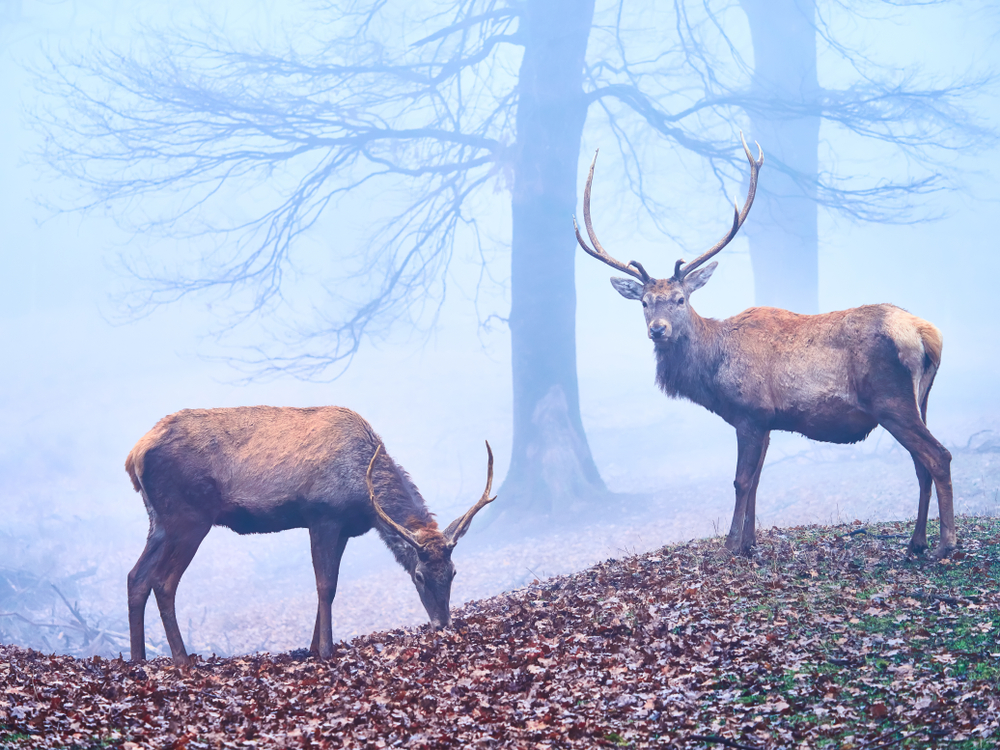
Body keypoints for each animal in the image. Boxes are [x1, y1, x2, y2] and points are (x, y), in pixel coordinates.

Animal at [124, 405, 496, 665]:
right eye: (418, 575)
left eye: (454, 572)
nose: (442, 623)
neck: (364, 493)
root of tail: (133, 455)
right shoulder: (323, 515)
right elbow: (325, 584)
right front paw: (326, 650)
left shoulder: (342, 528)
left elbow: (330, 584)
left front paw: (314, 647)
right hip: (188, 517)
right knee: (163, 581)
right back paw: (182, 659)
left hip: (158, 521)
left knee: (136, 577)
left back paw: (138, 659)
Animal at [575, 134, 956, 560]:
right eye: (643, 303)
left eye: (679, 299)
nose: (658, 330)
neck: (713, 370)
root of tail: (926, 334)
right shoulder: (769, 421)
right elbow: (757, 480)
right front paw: (750, 542)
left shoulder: (750, 412)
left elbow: (741, 480)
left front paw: (730, 545)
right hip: (921, 398)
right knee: (922, 463)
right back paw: (916, 541)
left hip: (891, 400)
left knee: (938, 456)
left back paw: (945, 543)